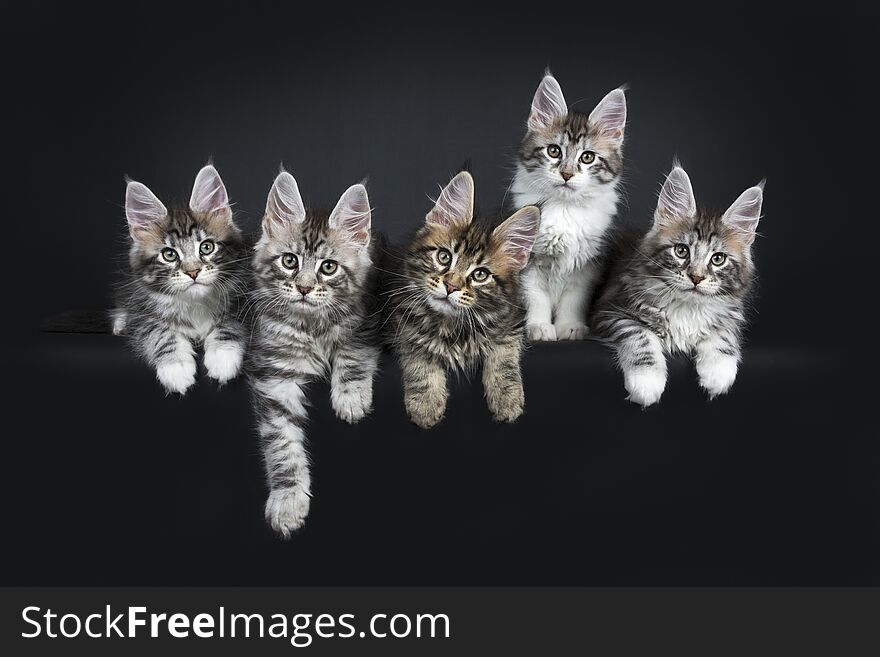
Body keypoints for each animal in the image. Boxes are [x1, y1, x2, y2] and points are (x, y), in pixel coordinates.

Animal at [112, 164, 248, 394]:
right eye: (169, 254)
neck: (195, 303)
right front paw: (175, 368)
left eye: (206, 247)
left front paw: (223, 357)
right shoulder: (143, 318)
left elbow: (228, 325)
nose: (193, 272)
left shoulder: (244, 300)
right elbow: (159, 332)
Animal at [248, 172, 378, 536]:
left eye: (329, 267)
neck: (312, 326)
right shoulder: (274, 377)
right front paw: (288, 500)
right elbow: (282, 446)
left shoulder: (364, 326)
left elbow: (352, 354)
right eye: (290, 261)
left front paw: (351, 399)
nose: (304, 288)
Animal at [386, 169, 544, 428]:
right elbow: (419, 357)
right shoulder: (401, 323)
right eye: (444, 257)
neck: (452, 324)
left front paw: (507, 397)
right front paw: (425, 404)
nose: (451, 286)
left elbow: (503, 354)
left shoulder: (512, 320)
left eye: (480, 275)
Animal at [508, 72, 624, 344]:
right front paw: (539, 327)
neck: (565, 209)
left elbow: (574, 299)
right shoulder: (529, 262)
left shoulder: (587, 265)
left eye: (587, 157)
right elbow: (536, 297)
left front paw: (570, 327)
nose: (567, 174)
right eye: (554, 151)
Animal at [592, 163, 764, 404]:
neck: (687, 308)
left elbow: (723, 335)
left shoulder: (729, 316)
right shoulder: (611, 311)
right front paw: (646, 381)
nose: (696, 277)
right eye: (681, 251)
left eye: (718, 259)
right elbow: (640, 336)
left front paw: (718, 372)